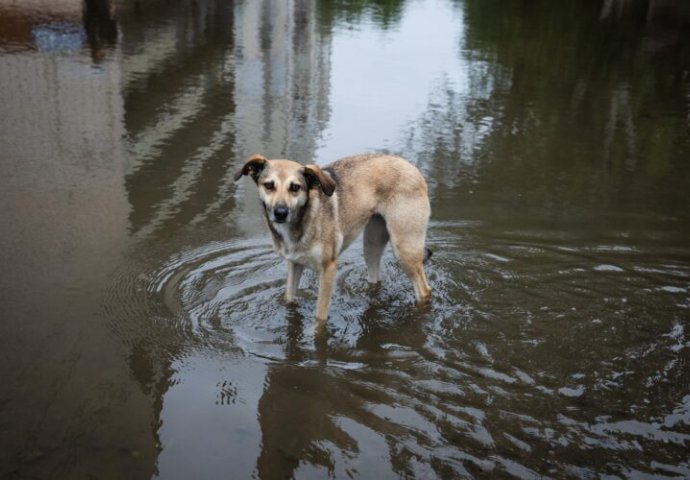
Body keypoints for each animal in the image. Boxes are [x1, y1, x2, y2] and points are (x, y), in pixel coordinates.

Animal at [235, 152, 430, 320]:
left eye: (295, 187)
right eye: (269, 185)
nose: (280, 213)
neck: (304, 218)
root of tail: (411, 167)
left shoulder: (328, 269)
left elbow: (319, 318)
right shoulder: (295, 263)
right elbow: (289, 298)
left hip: (404, 250)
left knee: (424, 290)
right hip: (372, 245)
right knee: (375, 277)